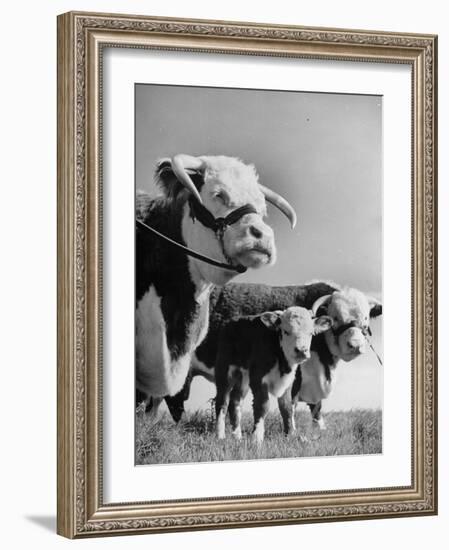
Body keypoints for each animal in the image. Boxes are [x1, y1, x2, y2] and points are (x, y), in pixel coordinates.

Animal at [215, 308, 330, 446]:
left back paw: (237, 436)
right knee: (222, 401)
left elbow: (287, 407)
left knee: (235, 401)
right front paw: (257, 437)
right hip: (224, 371)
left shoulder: (288, 381)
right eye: (286, 331)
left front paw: (290, 435)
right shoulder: (258, 378)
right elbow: (262, 405)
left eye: (311, 333)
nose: (301, 351)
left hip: (244, 377)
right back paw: (220, 436)